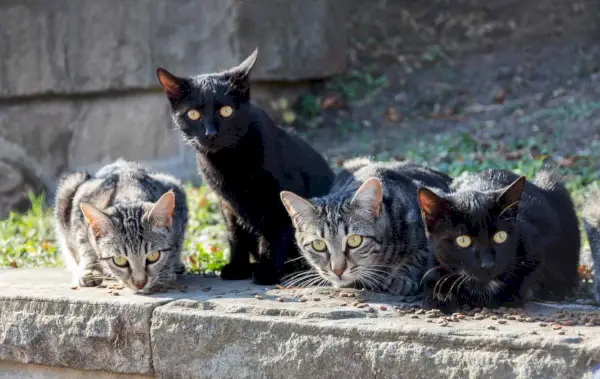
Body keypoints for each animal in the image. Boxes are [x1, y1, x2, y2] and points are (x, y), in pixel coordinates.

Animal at [56, 159, 189, 292]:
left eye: (153, 256)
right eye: (119, 260)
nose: (139, 283)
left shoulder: (179, 218)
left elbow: (175, 248)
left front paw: (166, 271)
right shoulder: (79, 214)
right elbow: (85, 247)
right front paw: (90, 271)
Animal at [155, 48, 336, 284]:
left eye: (226, 111)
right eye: (193, 114)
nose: (211, 133)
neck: (228, 163)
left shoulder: (279, 198)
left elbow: (273, 234)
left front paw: (267, 271)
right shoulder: (228, 204)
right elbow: (235, 235)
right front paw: (237, 267)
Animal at [418, 162, 580, 314]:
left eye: (500, 236)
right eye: (463, 240)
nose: (488, 264)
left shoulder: (536, 247)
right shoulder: (434, 259)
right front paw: (440, 297)